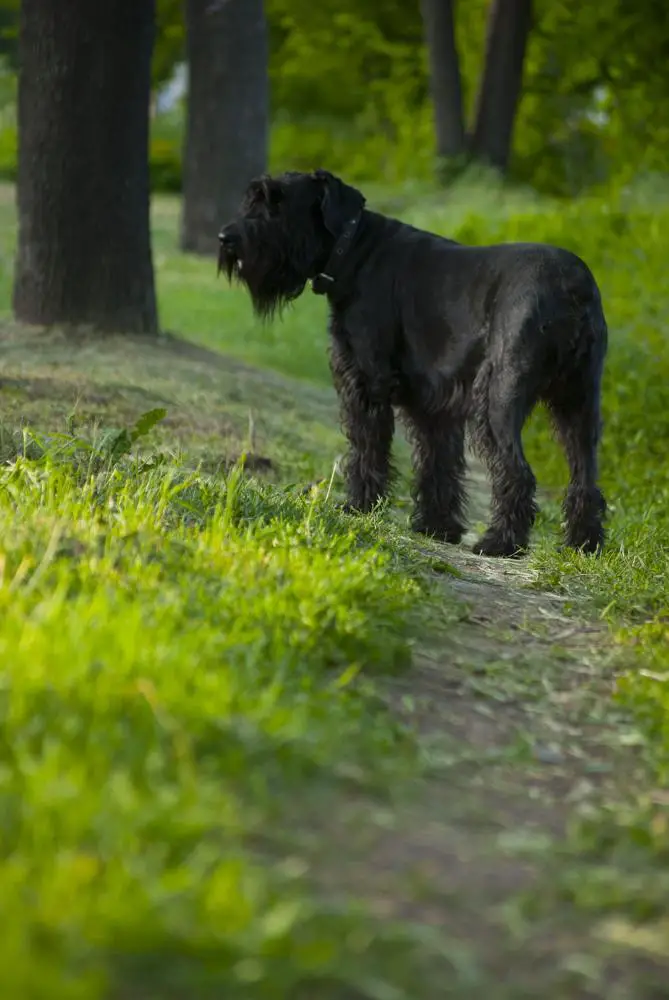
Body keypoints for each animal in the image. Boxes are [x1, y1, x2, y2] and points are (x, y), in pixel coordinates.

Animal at [219, 170, 604, 556]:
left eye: (278, 203)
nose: (226, 238)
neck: (353, 250)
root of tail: (572, 287)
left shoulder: (365, 382)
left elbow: (367, 449)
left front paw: (358, 507)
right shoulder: (434, 404)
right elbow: (437, 463)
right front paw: (437, 527)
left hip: (499, 397)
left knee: (517, 471)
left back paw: (501, 541)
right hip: (578, 404)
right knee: (585, 477)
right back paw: (583, 544)